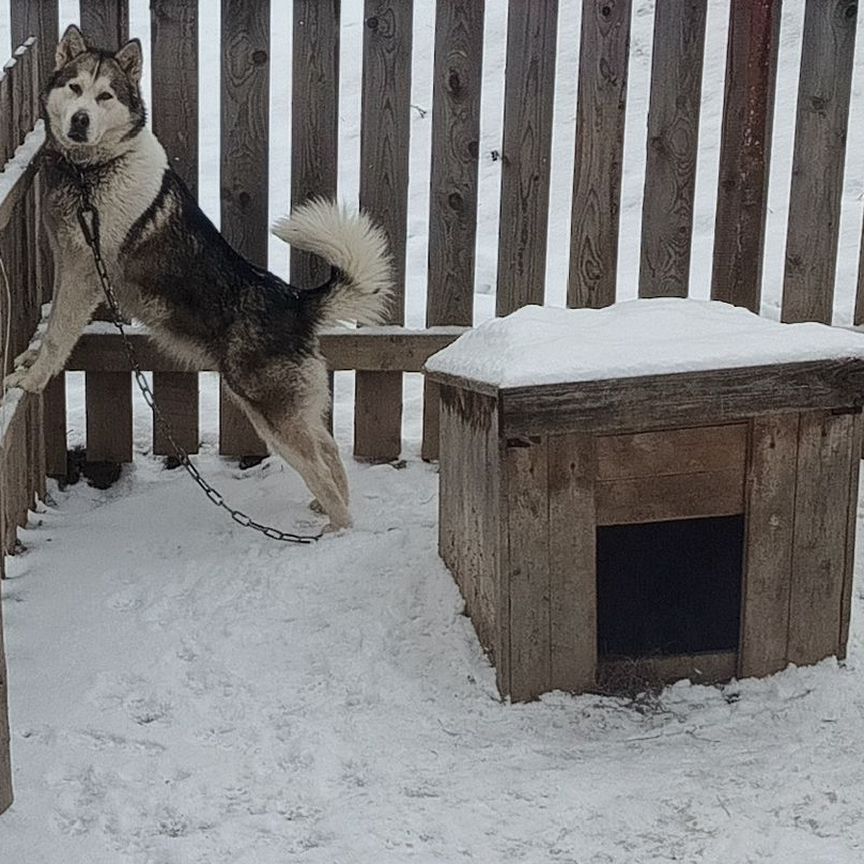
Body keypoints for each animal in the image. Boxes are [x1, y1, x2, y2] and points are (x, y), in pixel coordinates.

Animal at [5, 23, 392, 528]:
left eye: (105, 95)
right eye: (74, 88)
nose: (80, 121)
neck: (94, 172)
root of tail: (296, 302)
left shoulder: (85, 274)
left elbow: (57, 337)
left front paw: (31, 381)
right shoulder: (68, 263)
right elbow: (51, 327)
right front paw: (28, 362)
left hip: (271, 415)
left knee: (322, 471)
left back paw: (335, 531)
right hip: (289, 412)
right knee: (329, 452)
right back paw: (322, 510)